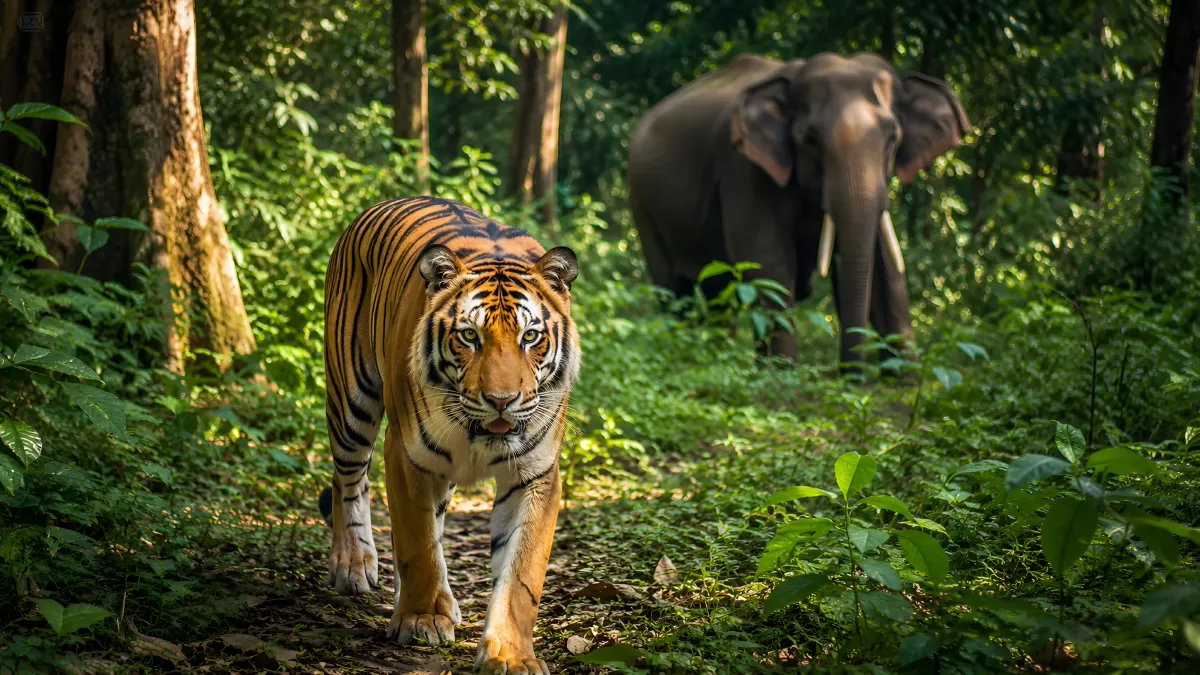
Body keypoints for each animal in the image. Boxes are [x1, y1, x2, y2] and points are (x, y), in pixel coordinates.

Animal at [317, 196, 580, 675]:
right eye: (469, 336)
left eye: (530, 336)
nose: (501, 400)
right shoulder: (407, 454)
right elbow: (417, 543)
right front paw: (421, 620)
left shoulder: (536, 474)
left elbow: (521, 574)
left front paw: (511, 654)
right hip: (351, 399)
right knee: (348, 480)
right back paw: (353, 565)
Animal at [627, 52, 970, 368]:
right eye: (811, 140)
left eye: (893, 138)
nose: (850, 375)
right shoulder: (744, 170)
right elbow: (767, 258)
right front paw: (784, 373)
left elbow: (885, 268)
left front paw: (906, 379)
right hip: (644, 208)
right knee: (675, 293)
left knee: (719, 296)